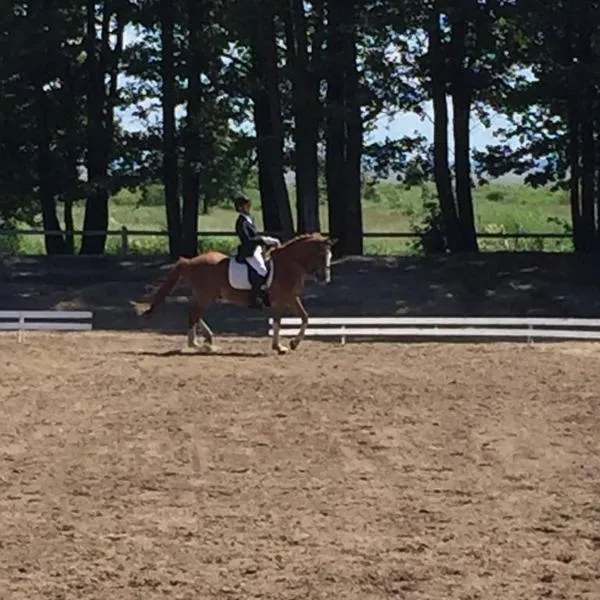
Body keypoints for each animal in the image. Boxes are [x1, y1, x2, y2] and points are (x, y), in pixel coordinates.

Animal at [133, 232, 336, 354]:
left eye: (330, 255)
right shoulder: (280, 300)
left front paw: (294, 343)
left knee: (194, 313)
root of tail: (190, 262)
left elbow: (305, 317)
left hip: (206, 295)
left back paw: (208, 339)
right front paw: (279, 347)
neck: (290, 264)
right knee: (193, 313)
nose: (324, 278)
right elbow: (278, 322)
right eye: (321, 254)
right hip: (206, 295)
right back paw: (196, 344)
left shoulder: (292, 297)